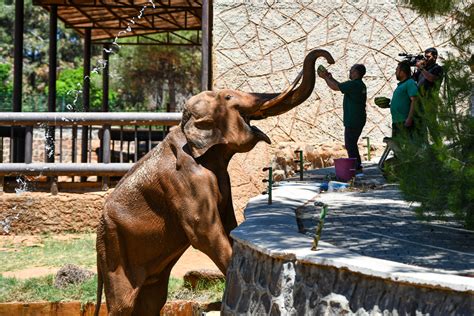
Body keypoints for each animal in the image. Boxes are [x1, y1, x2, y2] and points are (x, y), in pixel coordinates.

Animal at [94, 49, 336, 316]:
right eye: (229, 97)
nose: (328, 61)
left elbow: (229, 224)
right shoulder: (186, 180)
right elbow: (204, 231)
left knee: (152, 300)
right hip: (115, 247)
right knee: (123, 305)